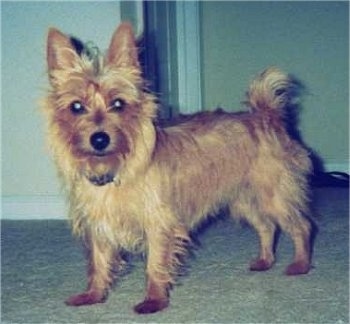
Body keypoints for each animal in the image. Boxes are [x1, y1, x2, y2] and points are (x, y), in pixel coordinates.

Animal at [42, 20, 314, 314]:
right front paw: (93, 295)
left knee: (301, 226)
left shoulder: (159, 223)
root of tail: (266, 116)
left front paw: (154, 300)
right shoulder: (99, 226)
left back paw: (301, 264)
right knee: (267, 227)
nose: (99, 139)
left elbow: (154, 264)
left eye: (118, 104)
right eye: (76, 107)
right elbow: (99, 263)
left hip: (274, 196)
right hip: (243, 200)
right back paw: (265, 260)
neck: (114, 169)